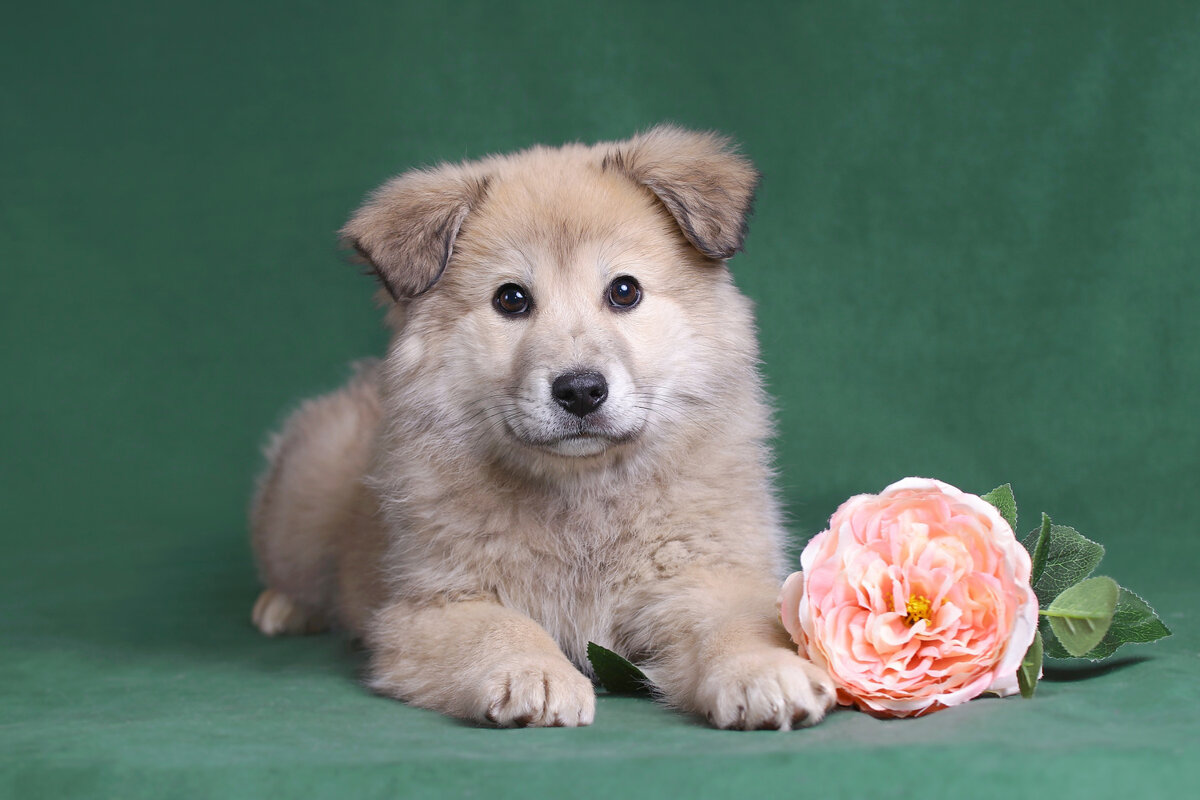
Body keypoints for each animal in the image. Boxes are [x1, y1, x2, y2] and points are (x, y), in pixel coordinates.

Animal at [250, 122, 835, 729]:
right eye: (511, 299)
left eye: (624, 290)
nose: (579, 390)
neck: (583, 495)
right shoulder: (433, 606)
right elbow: (500, 629)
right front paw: (534, 673)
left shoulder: (709, 577)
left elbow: (736, 625)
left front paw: (763, 671)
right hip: (302, 499)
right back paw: (281, 606)